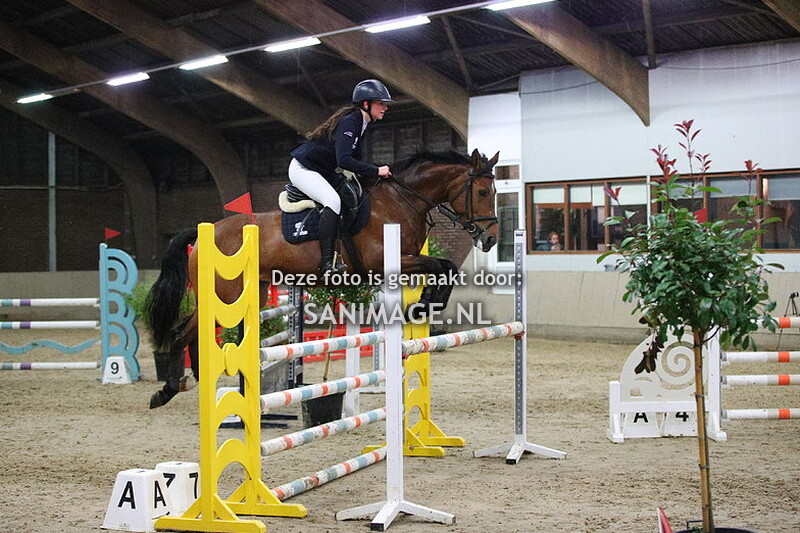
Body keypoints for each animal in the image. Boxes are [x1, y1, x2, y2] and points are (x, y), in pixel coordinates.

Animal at [146, 148, 500, 408]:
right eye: (483, 191)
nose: (490, 239)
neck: (401, 200)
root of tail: (206, 231)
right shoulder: (384, 263)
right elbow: (441, 266)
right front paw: (424, 304)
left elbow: (445, 265)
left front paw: (424, 305)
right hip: (226, 294)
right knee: (182, 332)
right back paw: (167, 390)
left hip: (252, 292)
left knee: (195, 331)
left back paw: (199, 382)